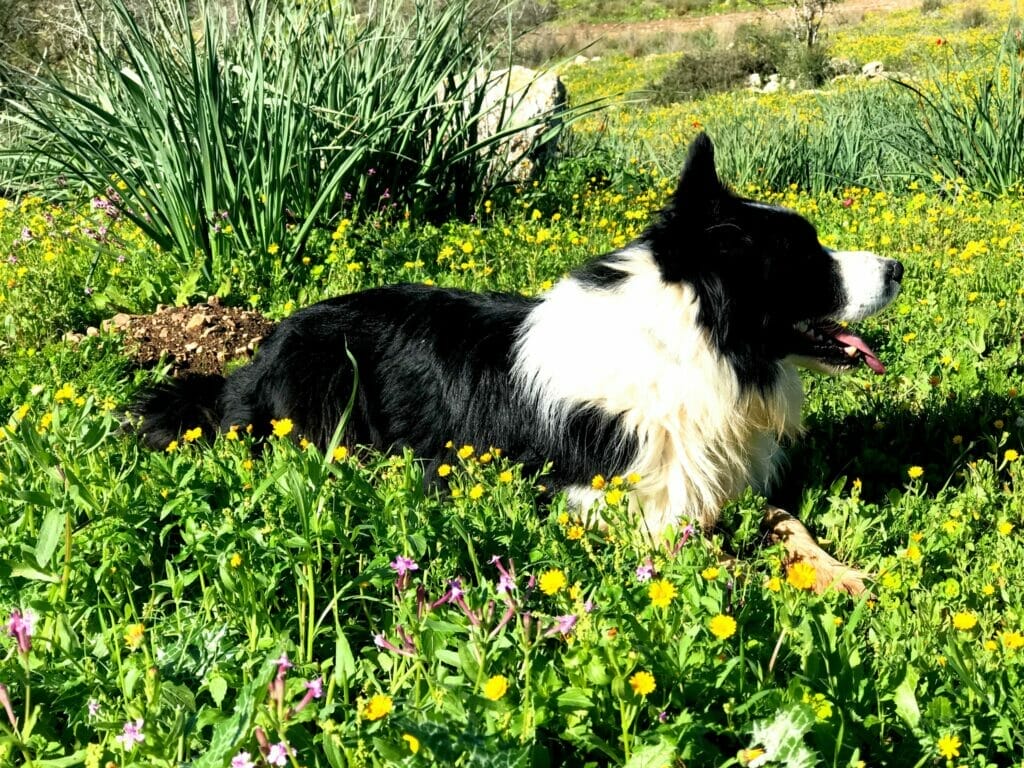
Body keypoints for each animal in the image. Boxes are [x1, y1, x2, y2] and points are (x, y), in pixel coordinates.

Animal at [132, 135, 901, 593]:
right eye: (805, 253)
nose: (897, 268)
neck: (691, 345)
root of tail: (258, 354)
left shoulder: (710, 483)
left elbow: (786, 521)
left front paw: (848, 576)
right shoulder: (606, 507)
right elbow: (718, 559)